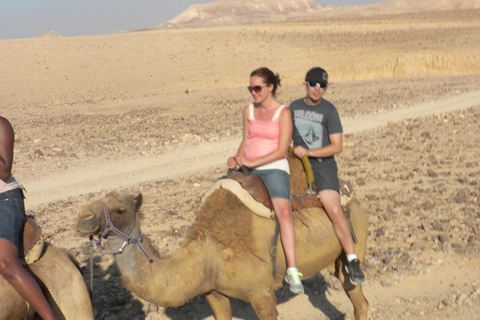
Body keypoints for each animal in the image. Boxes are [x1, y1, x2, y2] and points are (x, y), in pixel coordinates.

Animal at [76, 154, 368, 318]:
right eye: (97, 199)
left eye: (120, 209)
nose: (82, 218)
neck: (208, 253)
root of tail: (349, 190)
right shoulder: (213, 292)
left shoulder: (261, 292)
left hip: (354, 240)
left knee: (359, 299)